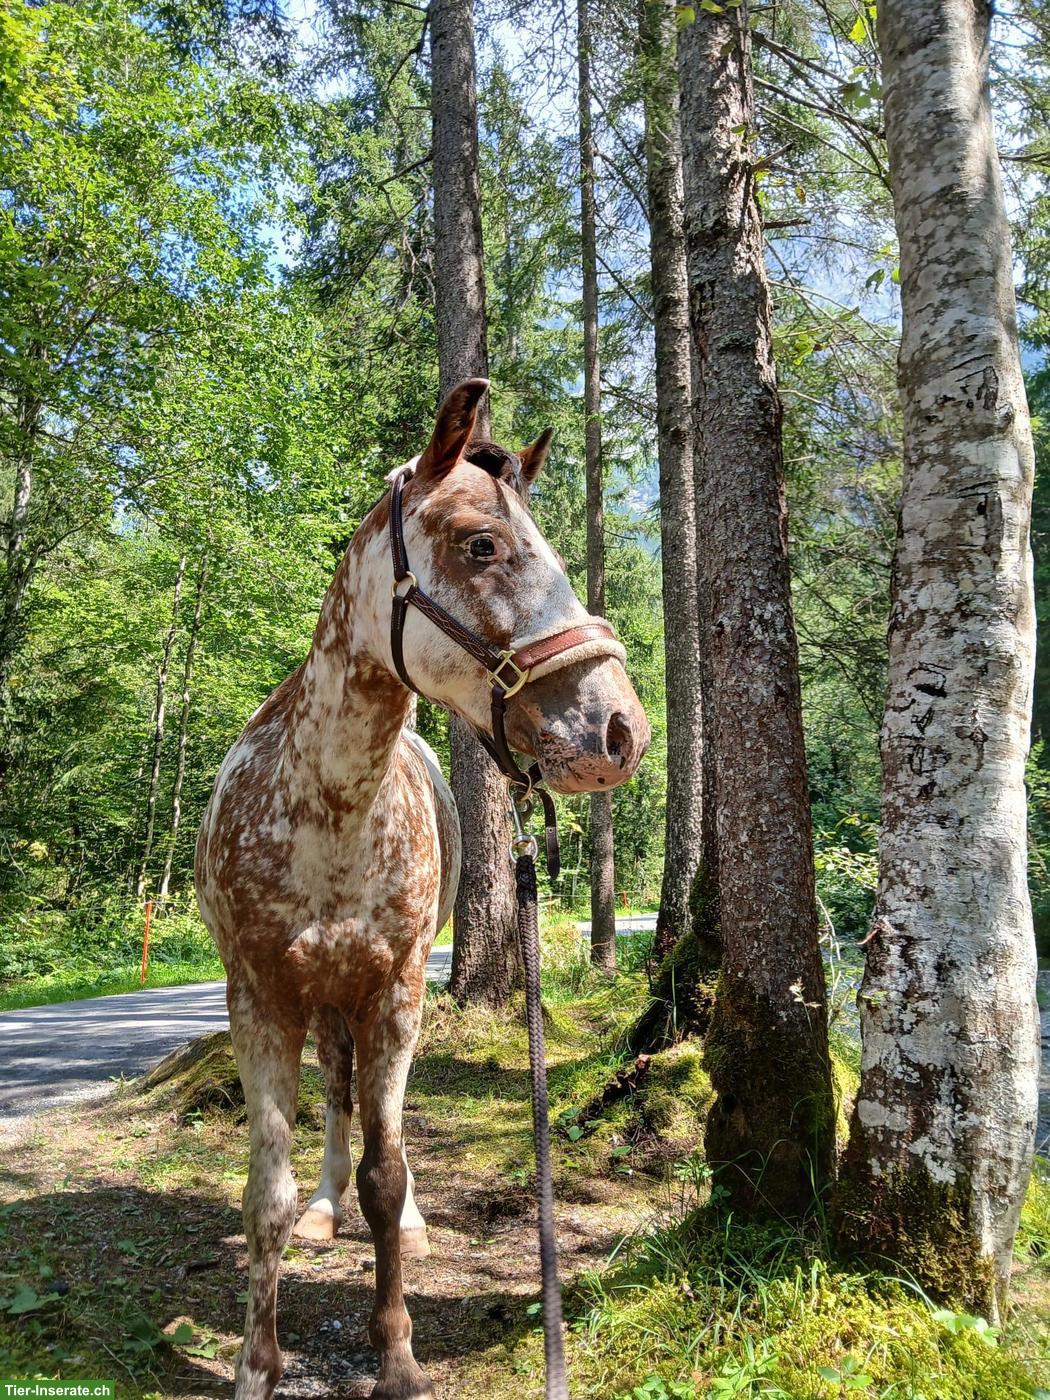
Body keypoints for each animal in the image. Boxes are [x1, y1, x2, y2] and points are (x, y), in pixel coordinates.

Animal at [195, 377, 650, 1399]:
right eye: (482, 545)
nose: (622, 731)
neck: (328, 809)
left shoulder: (398, 991)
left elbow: (391, 1171)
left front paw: (397, 1354)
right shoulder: (259, 997)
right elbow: (265, 1195)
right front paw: (257, 1364)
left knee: (374, 1128)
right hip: (322, 998)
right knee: (335, 1093)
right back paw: (326, 1208)